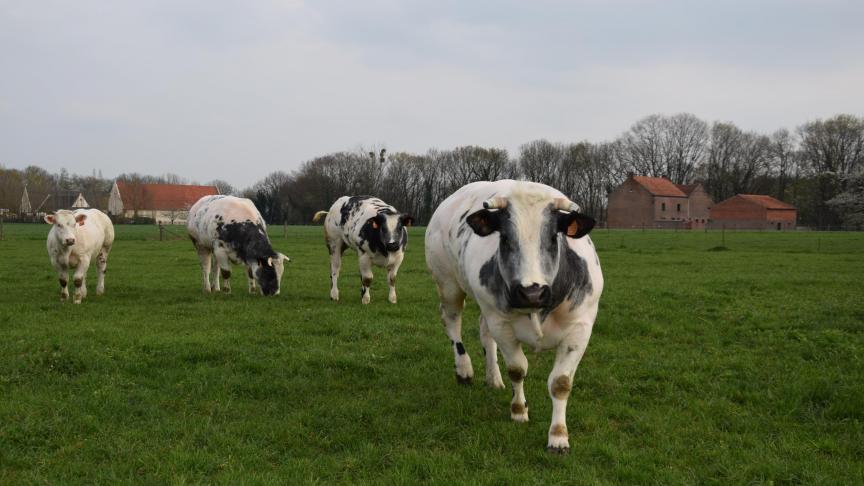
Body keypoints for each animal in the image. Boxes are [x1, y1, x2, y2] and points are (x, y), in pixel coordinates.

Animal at [424, 180, 600, 454]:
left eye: (554, 237)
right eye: (505, 238)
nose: (532, 292)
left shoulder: (580, 328)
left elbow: (560, 383)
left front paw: (558, 436)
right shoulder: (502, 324)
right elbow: (517, 369)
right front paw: (518, 411)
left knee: (484, 333)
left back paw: (493, 378)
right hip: (448, 284)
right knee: (453, 323)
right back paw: (464, 370)